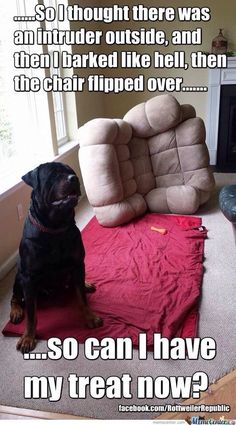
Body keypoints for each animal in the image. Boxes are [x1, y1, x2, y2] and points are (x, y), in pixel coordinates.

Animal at [10, 161, 102, 352]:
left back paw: (85, 284)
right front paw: (28, 337)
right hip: (19, 276)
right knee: (16, 297)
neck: (55, 227)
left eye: (71, 172)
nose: (74, 178)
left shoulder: (78, 263)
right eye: (53, 175)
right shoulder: (29, 277)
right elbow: (31, 312)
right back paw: (15, 310)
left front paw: (89, 316)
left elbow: (82, 298)